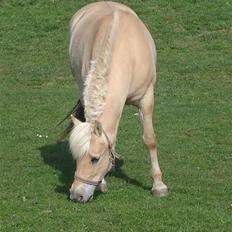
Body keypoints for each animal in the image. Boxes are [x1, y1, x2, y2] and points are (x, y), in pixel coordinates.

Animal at [68, 0, 168, 202]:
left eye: (95, 159)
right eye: (76, 158)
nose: (76, 195)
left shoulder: (146, 97)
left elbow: (150, 139)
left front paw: (159, 185)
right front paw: (103, 182)